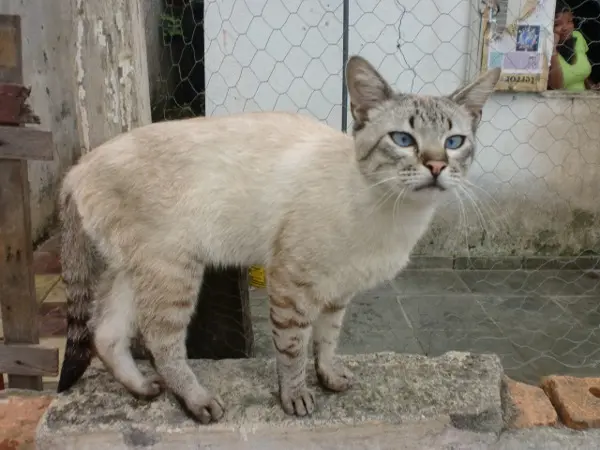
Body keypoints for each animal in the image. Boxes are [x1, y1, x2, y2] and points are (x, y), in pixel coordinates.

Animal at [56, 55, 500, 424]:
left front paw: (329, 377)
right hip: (173, 271)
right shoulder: (291, 282)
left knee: (105, 334)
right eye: (403, 140)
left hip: (135, 272)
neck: (396, 215)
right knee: (159, 342)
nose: (437, 166)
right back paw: (198, 401)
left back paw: (143, 389)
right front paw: (296, 397)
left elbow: (328, 340)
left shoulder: (339, 290)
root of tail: (77, 168)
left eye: (454, 142)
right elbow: (293, 348)